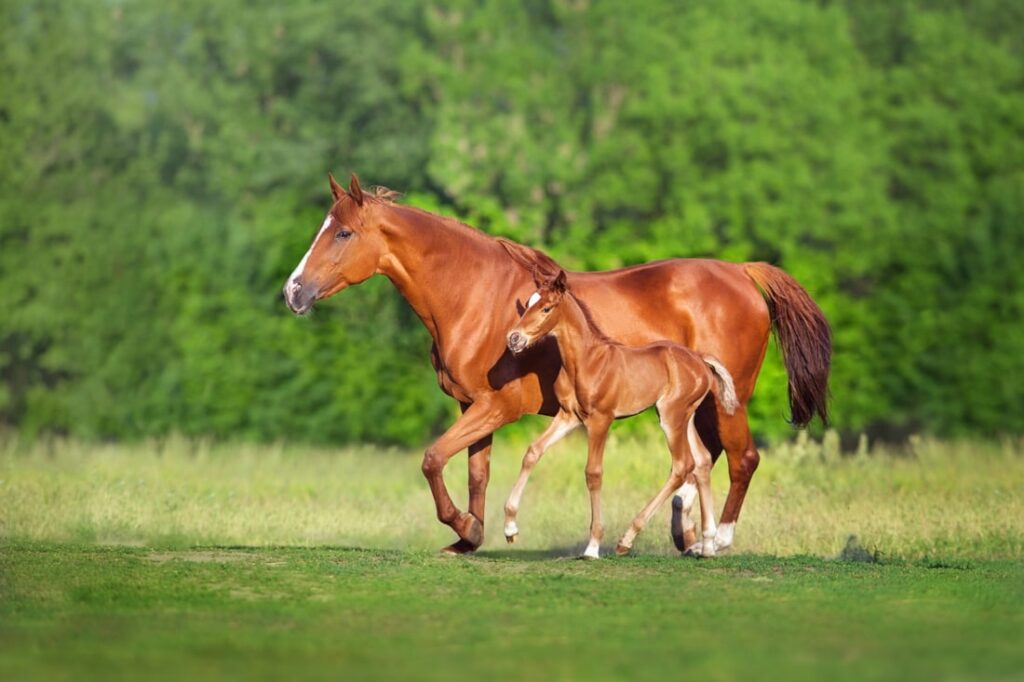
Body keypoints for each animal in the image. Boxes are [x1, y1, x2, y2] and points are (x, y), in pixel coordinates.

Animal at [504, 269, 739, 558]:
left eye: (546, 308)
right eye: (527, 305)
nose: (514, 339)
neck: (586, 362)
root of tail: (699, 359)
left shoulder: (600, 420)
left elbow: (593, 473)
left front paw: (592, 545)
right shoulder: (568, 417)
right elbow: (533, 452)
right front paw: (510, 527)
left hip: (671, 416)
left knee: (683, 465)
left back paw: (627, 539)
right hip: (686, 416)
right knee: (703, 461)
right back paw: (707, 545)